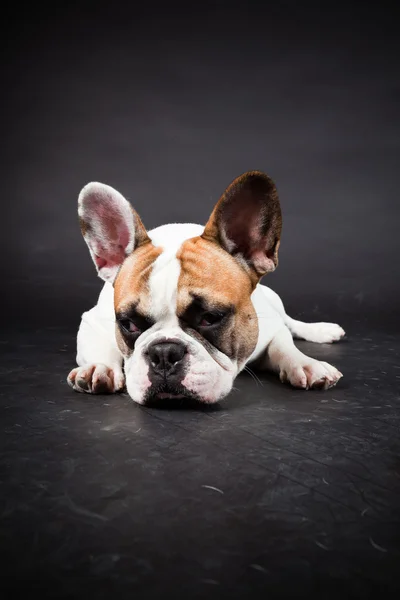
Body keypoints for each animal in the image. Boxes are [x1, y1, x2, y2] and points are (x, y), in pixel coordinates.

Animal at [68, 171, 344, 406]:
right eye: (128, 324)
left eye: (211, 317)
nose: (164, 353)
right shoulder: (93, 321)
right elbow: (99, 346)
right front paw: (99, 368)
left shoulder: (272, 328)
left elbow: (284, 346)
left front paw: (306, 364)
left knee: (292, 322)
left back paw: (322, 330)